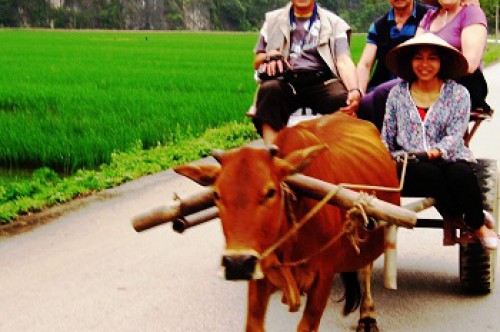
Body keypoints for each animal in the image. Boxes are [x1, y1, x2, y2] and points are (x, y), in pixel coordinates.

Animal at [174, 112, 400, 332]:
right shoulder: (259, 273)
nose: (237, 263)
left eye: (270, 192)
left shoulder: (323, 278)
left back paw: (367, 316)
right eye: (216, 194)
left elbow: (307, 325)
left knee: (365, 270)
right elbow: (253, 324)